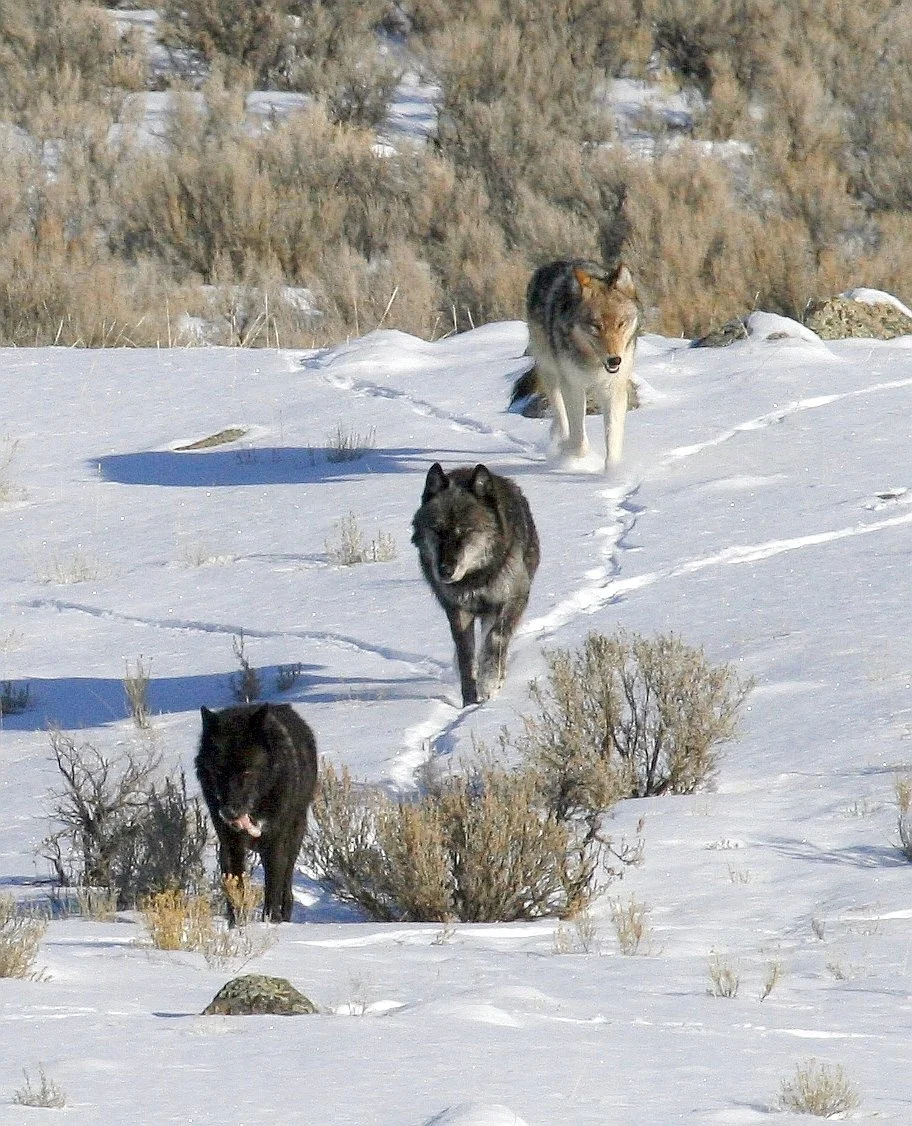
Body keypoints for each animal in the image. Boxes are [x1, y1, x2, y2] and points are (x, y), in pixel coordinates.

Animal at [196, 703, 318, 924]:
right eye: (218, 771)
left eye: (247, 771)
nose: (229, 812)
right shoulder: (231, 844)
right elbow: (236, 888)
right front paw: (236, 924)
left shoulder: (276, 842)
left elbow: (272, 889)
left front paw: (271, 922)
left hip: (294, 839)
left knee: (286, 885)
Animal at [411, 462, 540, 707]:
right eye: (437, 531)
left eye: (465, 531)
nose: (445, 571)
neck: (476, 576)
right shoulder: (458, 611)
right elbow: (466, 657)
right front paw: (470, 701)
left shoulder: (515, 597)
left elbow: (496, 638)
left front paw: (488, 682)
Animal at [526, 258, 639, 469]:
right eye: (596, 326)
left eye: (621, 323)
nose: (615, 360)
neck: (594, 363)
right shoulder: (573, 387)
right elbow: (579, 443)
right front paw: (568, 451)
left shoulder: (613, 390)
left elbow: (613, 441)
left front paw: (614, 473)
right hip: (551, 373)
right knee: (560, 414)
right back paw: (559, 440)